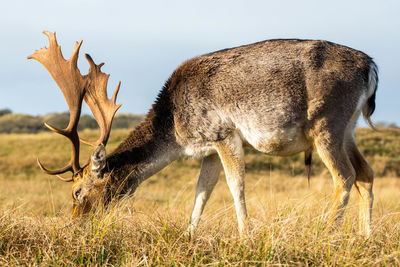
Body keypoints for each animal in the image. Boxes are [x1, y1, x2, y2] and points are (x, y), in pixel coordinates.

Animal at [29, 30, 376, 237]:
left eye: (77, 191)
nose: (72, 224)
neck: (177, 131)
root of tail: (370, 68)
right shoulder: (208, 149)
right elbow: (202, 191)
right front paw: (189, 234)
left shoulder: (224, 133)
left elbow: (236, 185)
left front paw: (245, 235)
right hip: (350, 128)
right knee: (365, 174)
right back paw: (366, 236)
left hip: (327, 122)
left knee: (344, 176)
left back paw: (327, 233)